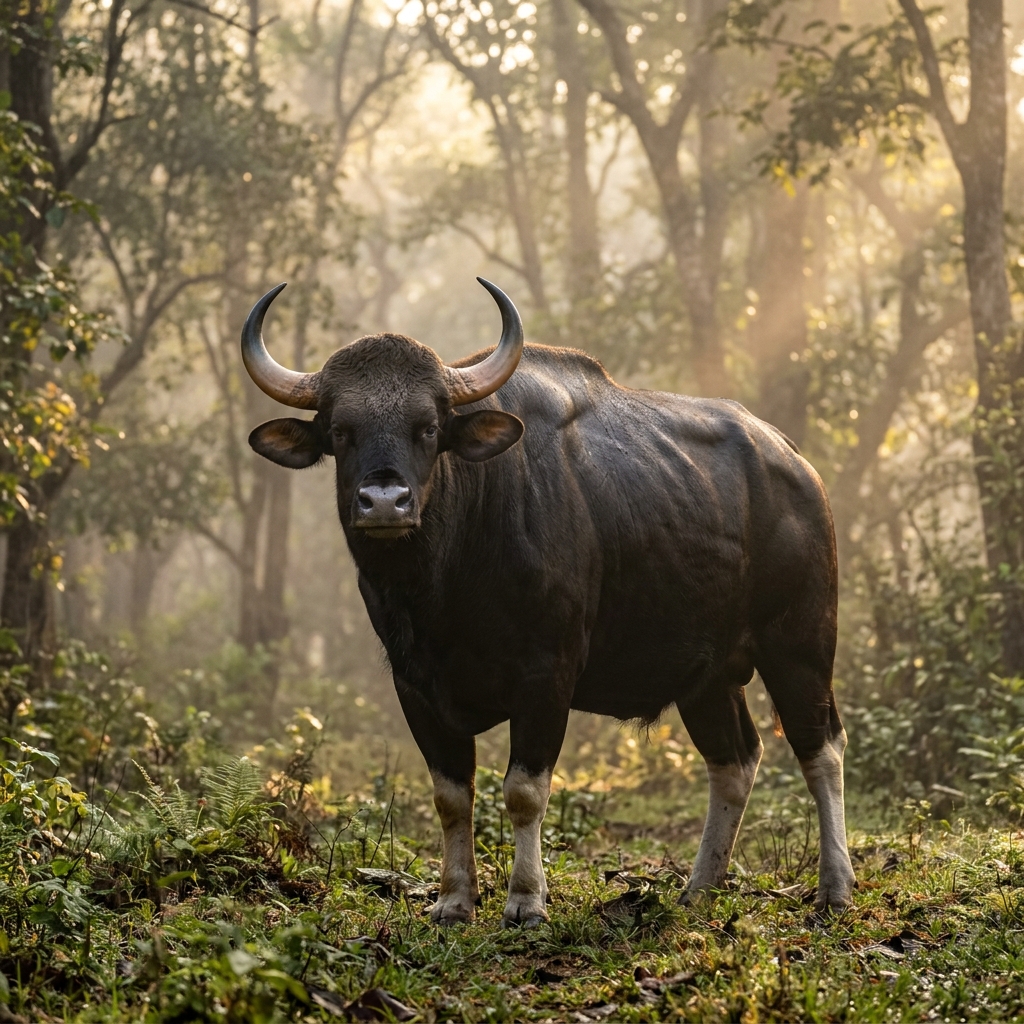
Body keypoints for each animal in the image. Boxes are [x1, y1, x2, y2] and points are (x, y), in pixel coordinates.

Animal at [242, 279, 856, 924]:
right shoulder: (414, 686)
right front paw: (454, 899)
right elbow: (450, 796)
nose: (385, 501)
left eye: (428, 427)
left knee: (820, 747)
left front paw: (525, 899)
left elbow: (523, 790)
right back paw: (699, 888)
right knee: (734, 759)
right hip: (707, 677)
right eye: (340, 430)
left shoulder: (547, 675)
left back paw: (834, 888)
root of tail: (796, 464)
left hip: (801, 643)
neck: (445, 586)